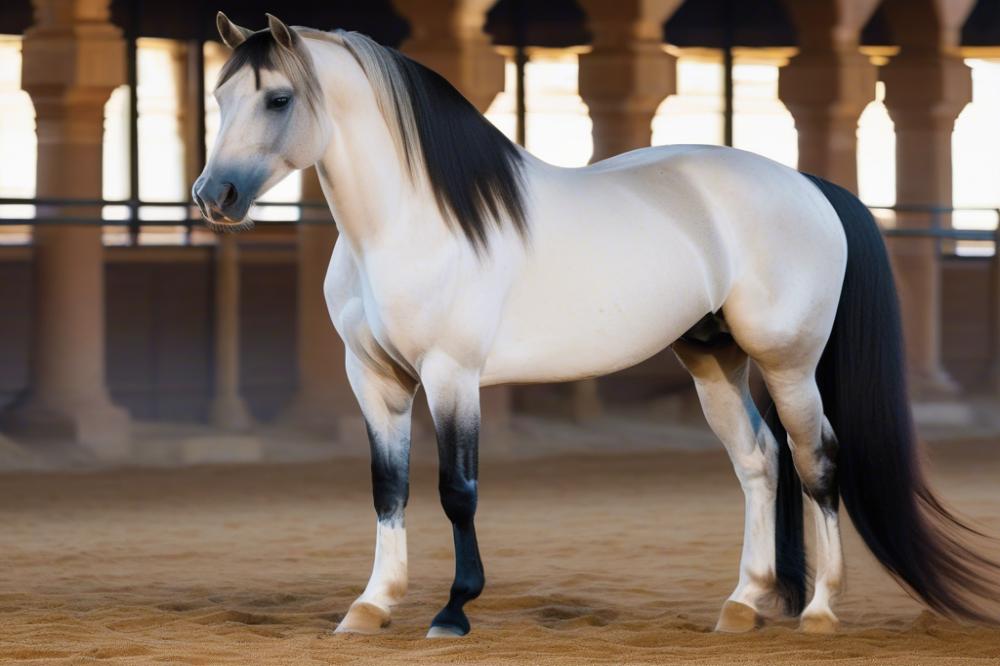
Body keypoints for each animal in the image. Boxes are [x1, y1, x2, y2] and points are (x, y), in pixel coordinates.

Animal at [193, 12, 1000, 638]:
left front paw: (453, 611)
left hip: (788, 362)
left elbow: (458, 488)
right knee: (760, 462)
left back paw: (822, 613)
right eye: (221, 93)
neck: (406, 226)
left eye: (279, 98)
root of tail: (810, 186)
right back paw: (742, 605)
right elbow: (387, 487)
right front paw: (370, 607)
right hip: (714, 360)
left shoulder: (452, 374)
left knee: (818, 462)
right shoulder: (376, 379)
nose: (212, 195)